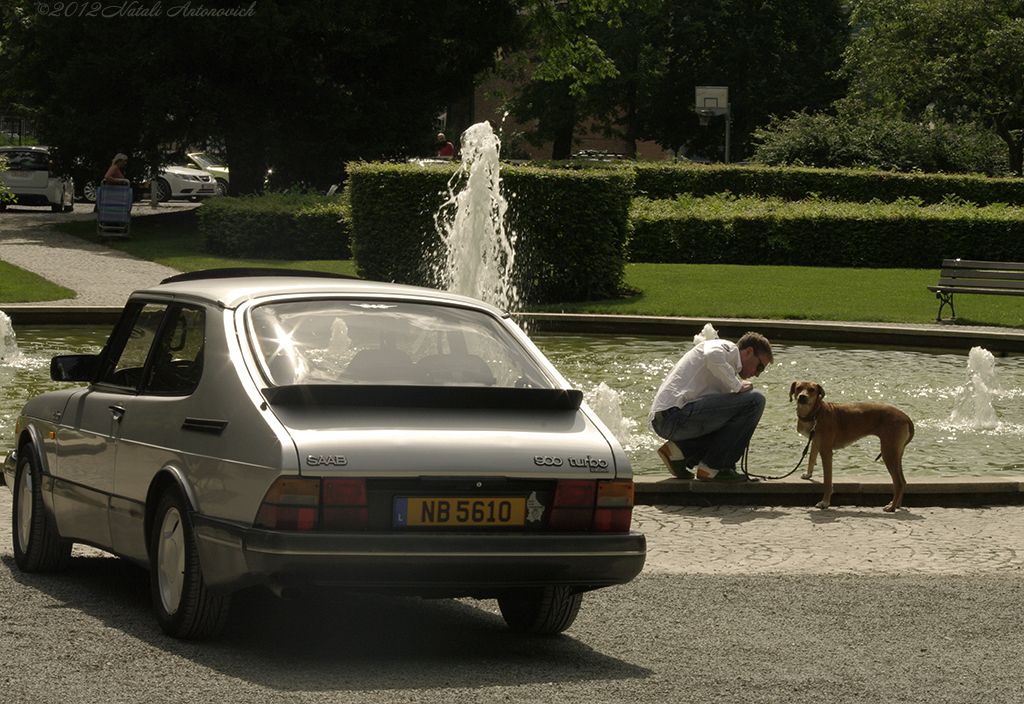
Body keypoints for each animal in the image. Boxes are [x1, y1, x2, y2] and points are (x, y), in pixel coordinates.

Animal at [786, 378, 917, 511]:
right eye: (798, 388)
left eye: (812, 390)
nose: (802, 396)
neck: (815, 413)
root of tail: (905, 417)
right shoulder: (815, 442)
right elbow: (811, 458)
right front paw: (808, 474)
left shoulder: (826, 452)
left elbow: (827, 481)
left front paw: (825, 502)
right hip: (896, 452)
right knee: (903, 481)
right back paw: (897, 504)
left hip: (888, 452)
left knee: (898, 482)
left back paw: (891, 507)